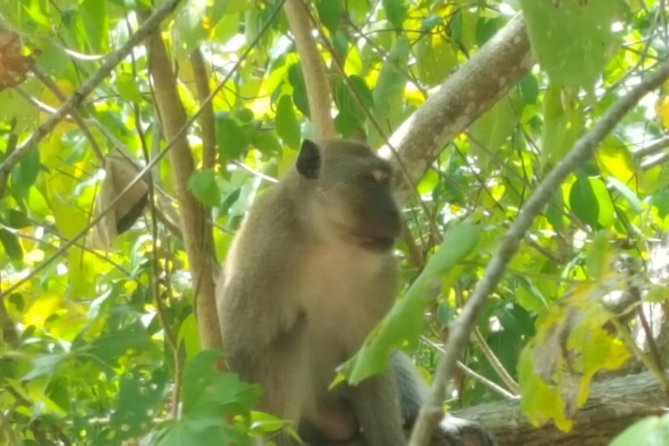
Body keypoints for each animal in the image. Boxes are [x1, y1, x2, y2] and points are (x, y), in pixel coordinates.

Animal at [217, 139, 494, 446]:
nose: (395, 213)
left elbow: (371, 351)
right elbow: (239, 354)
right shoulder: (260, 260)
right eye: (372, 180)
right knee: (289, 333)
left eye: (388, 183)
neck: (328, 242)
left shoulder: (383, 272)